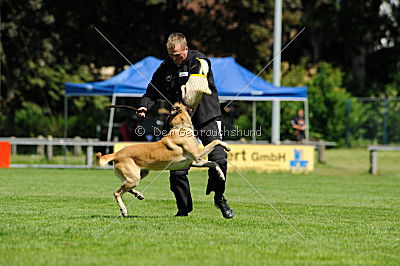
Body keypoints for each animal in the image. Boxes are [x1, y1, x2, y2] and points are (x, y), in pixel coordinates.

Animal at [94, 102, 231, 216]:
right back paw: (123, 210)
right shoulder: (198, 155)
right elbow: (216, 141)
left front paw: (221, 175)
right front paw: (227, 146)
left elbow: (213, 163)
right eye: (181, 103)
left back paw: (138, 195)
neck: (180, 127)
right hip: (134, 177)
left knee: (125, 187)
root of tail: (116, 154)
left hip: (139, 174)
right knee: (117, 193)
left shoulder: (193, 161)